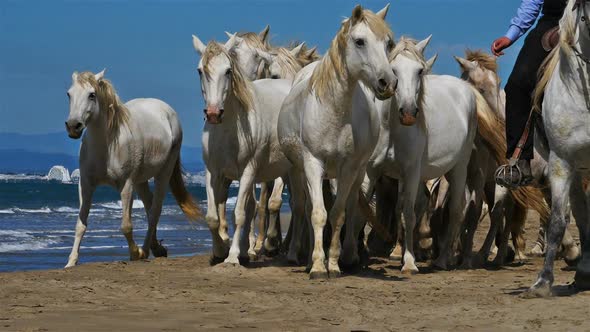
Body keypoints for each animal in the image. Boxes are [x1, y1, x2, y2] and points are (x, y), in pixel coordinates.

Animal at [64, 69, 200, 268]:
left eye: (92, 94)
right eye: (69, 94)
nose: (73, 126)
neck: (106, 146)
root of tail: (167, 111)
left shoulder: (126, 184)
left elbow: (126, 226)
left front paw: (135, 252)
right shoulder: (86, 184)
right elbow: (80, 224)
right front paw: (71, 262)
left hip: (163, 173)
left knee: (155, 211)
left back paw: (144, 250)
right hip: (141, 180)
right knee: (149, 207)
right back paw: (156, 248)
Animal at [192, 34, 294, 264]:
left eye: (228, 70)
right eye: (200, 70)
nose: (213, 113)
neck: (229, 129)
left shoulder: (248, 171)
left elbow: (239, 214)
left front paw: (232, 257)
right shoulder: (213, 172)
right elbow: (213, 217)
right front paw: (220, 251)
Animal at [278, 5, 398, 278]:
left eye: (388, 43)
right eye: (359, 41)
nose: (388, 83)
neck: (333, 111)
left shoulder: (349, 167)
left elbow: (339, 213)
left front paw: (333, 264)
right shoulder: (313, 163)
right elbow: (318, 214)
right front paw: (317, 266)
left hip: (358, 171)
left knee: (352, 205)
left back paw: (349, 256)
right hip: (300, 170)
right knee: (305, 207)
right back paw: (308, 258)